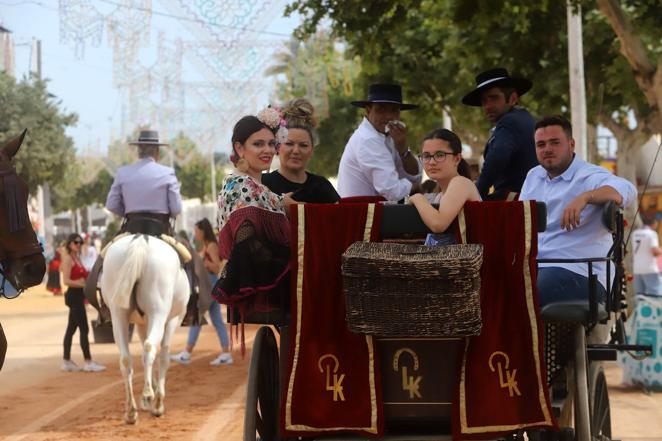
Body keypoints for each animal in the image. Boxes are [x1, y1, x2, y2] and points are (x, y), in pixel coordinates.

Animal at [100, 234, 191, 422]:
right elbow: (163, 356)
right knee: (150, 348)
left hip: (118, 315)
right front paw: (157, 402)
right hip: (159, 312)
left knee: (126, 358)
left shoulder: (141, 323)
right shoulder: (172, 320)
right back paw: (149, 395)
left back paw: (131, 410)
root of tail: (140, 240)